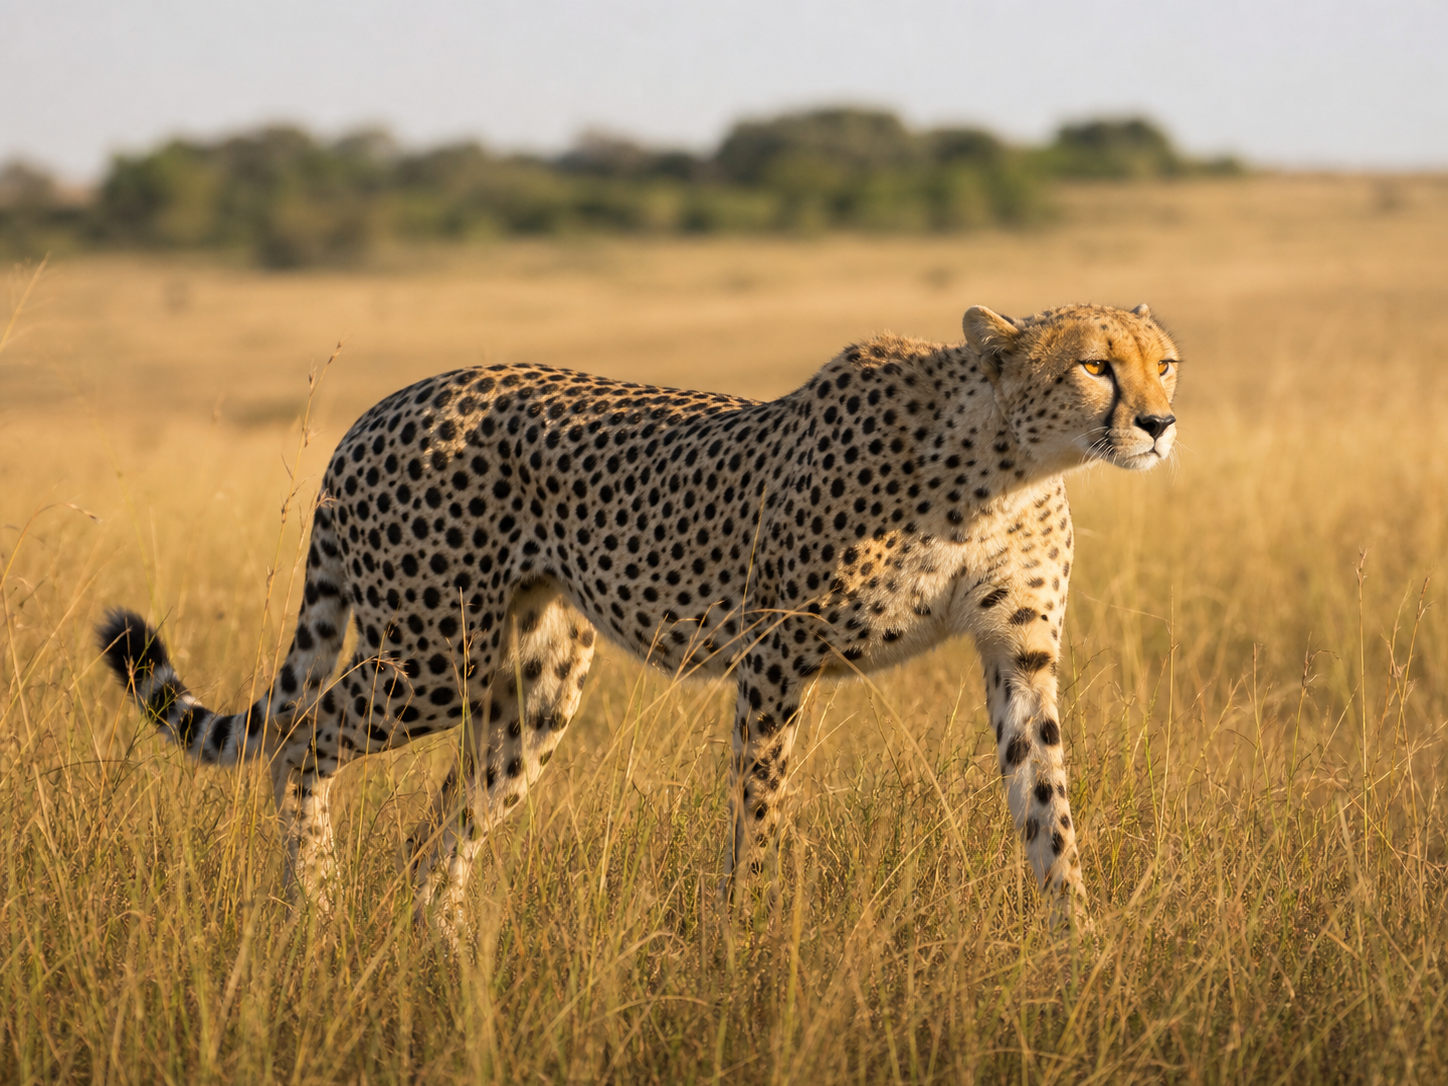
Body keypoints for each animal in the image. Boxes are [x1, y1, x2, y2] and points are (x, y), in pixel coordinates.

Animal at [97, 302, 1179, 934]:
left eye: (1164, 362)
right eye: (1094, 367)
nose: (1159, 424)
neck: (1003, 465)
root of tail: (385, 404)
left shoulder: (1018, 656)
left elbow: (1047, 810)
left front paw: (1079, 956)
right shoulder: (773, 652)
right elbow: (761, 812)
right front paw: (748, 944)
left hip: (529, 690)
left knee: (436, 833)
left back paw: (443, 965)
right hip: (431, 655)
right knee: (298, 746)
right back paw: (316, 913)